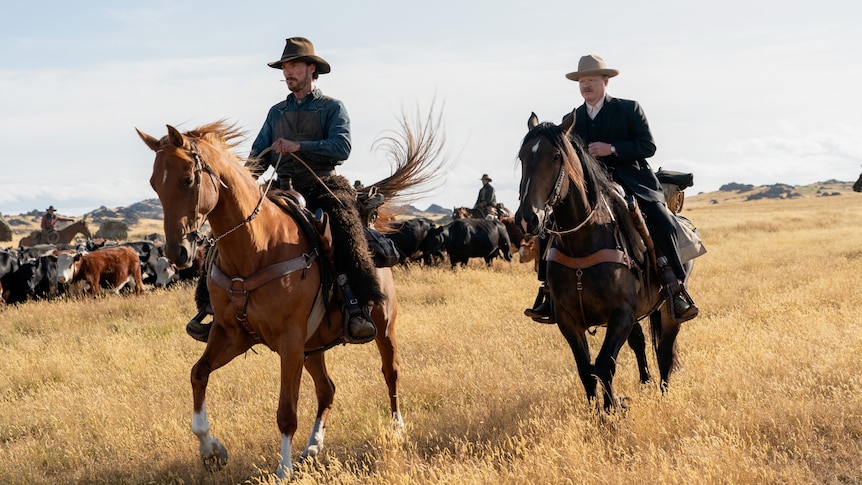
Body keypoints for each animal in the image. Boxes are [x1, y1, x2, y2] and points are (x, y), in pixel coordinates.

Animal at [136, 115, 446, 478]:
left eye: (187, 180)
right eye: (155, 184)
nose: (178, 252)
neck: (257, 247)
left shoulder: (289, 339)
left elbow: (286, 410)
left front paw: (283, 469)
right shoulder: (232, 334)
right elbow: (198, 374)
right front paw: (212, 450)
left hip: (382, 327)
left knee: (391, 372)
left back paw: (396, 428)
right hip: (313, 348)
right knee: (327, 389)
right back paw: (312, 448)